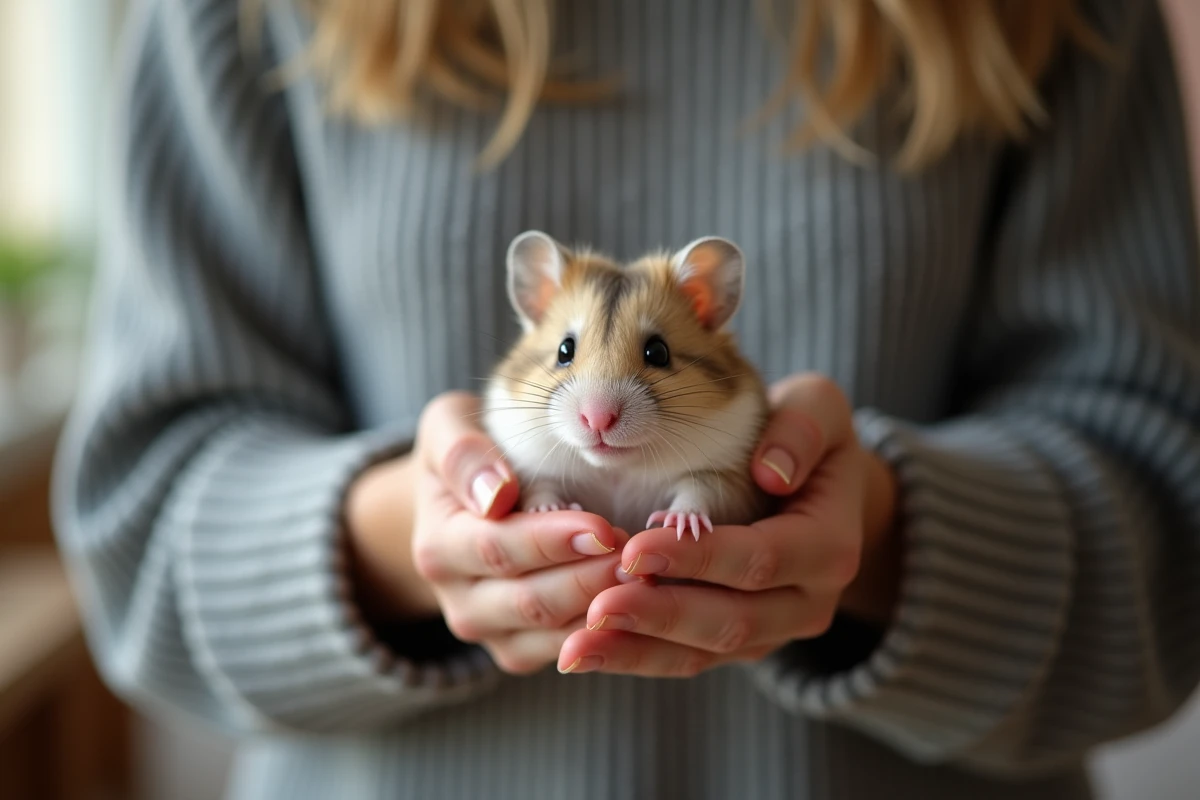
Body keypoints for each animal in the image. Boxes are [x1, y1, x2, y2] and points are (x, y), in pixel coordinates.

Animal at [482, 230, 772, 540]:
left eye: (658, 352)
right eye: (564, 350)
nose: (597, 419)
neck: (616, 469)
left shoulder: (731, 478)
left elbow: (699, 491)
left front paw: (679, 523)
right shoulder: (529, 468)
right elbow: (540, 487)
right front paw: (549, 510)